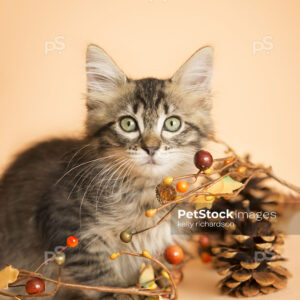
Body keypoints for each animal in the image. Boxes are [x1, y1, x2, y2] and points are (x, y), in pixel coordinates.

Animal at [0, 44, 213, 298]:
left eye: (172, 124)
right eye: (128, 124)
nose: (151, 147)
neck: (145, 192)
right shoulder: (66, 223)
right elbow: (99, 274)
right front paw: (122, 292)